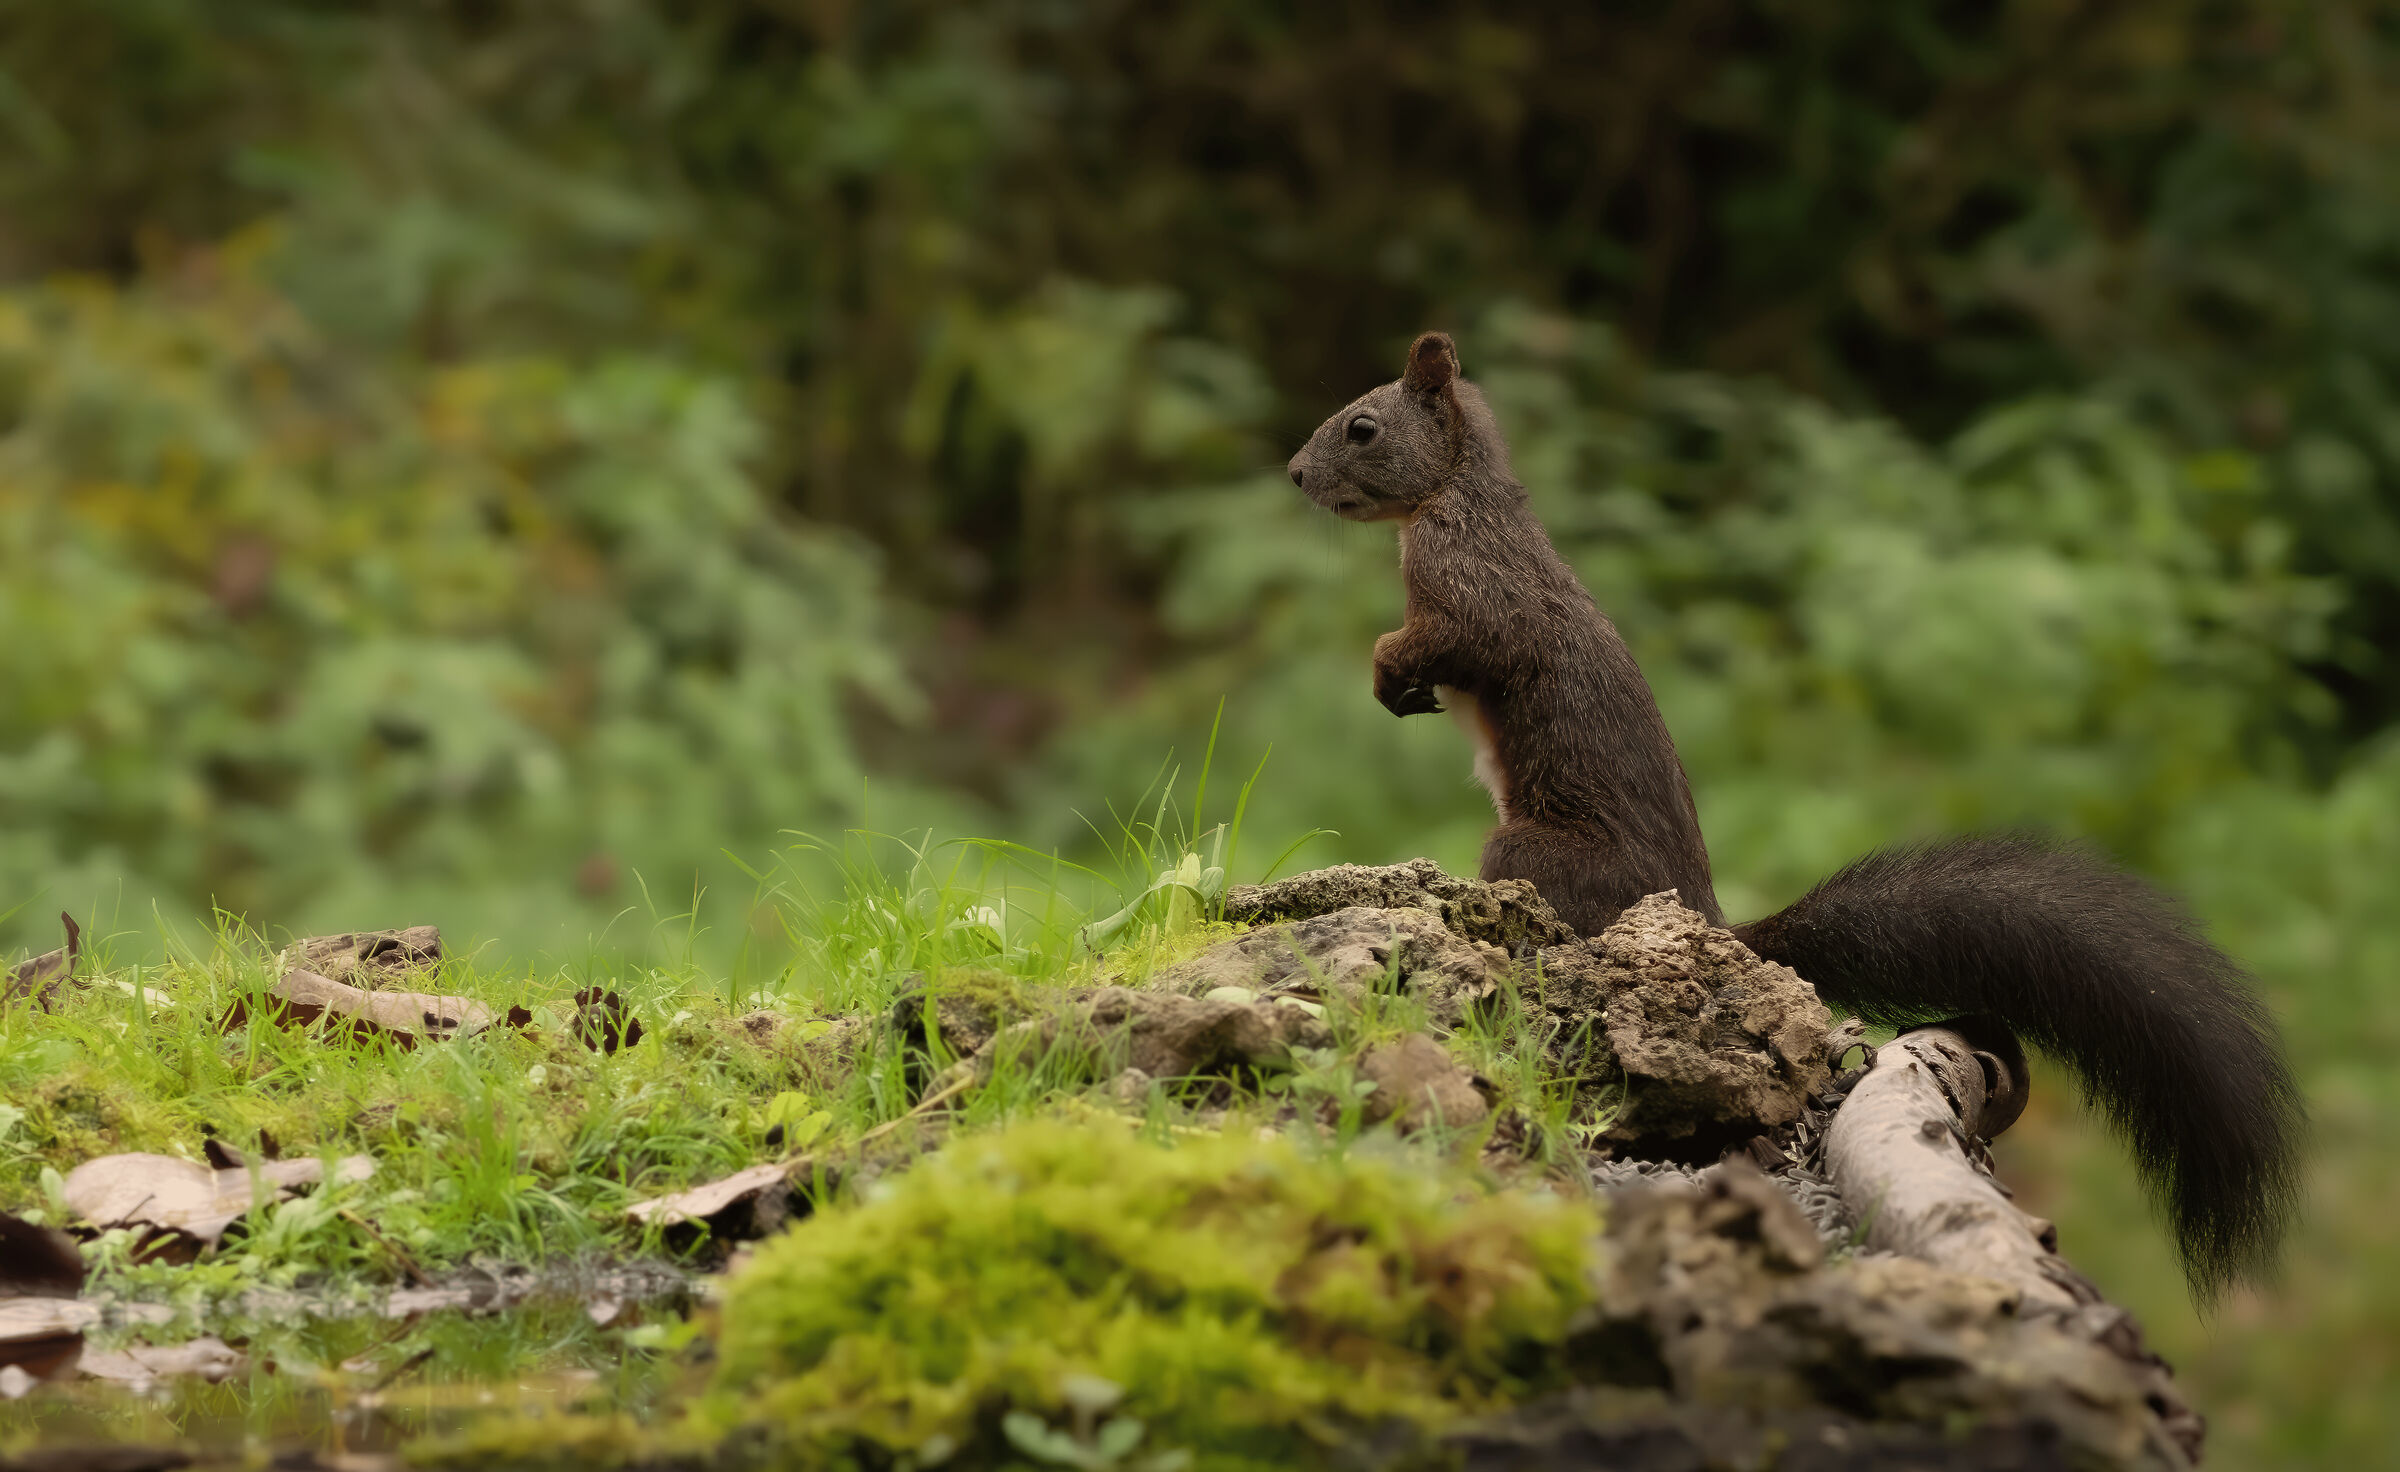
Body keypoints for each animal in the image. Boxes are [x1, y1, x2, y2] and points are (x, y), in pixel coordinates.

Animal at [1286, 330, 2304, 1302]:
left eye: (1363, 428)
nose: (1294, 475)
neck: (1457, 497)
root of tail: (1707, 922)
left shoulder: (1472, 589)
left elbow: (1453, 636)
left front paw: (1388, 670)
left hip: (1528, 847)